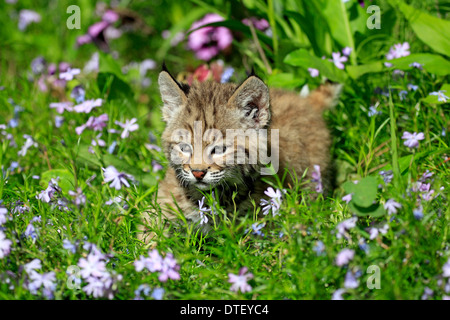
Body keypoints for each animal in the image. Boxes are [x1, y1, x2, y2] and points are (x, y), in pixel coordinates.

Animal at [138, 68, 342, 242]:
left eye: (219, 149)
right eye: (185, 148)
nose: (197, 173)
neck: (214, 195)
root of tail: (304, 101)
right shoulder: (156, 210)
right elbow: (145, 240)